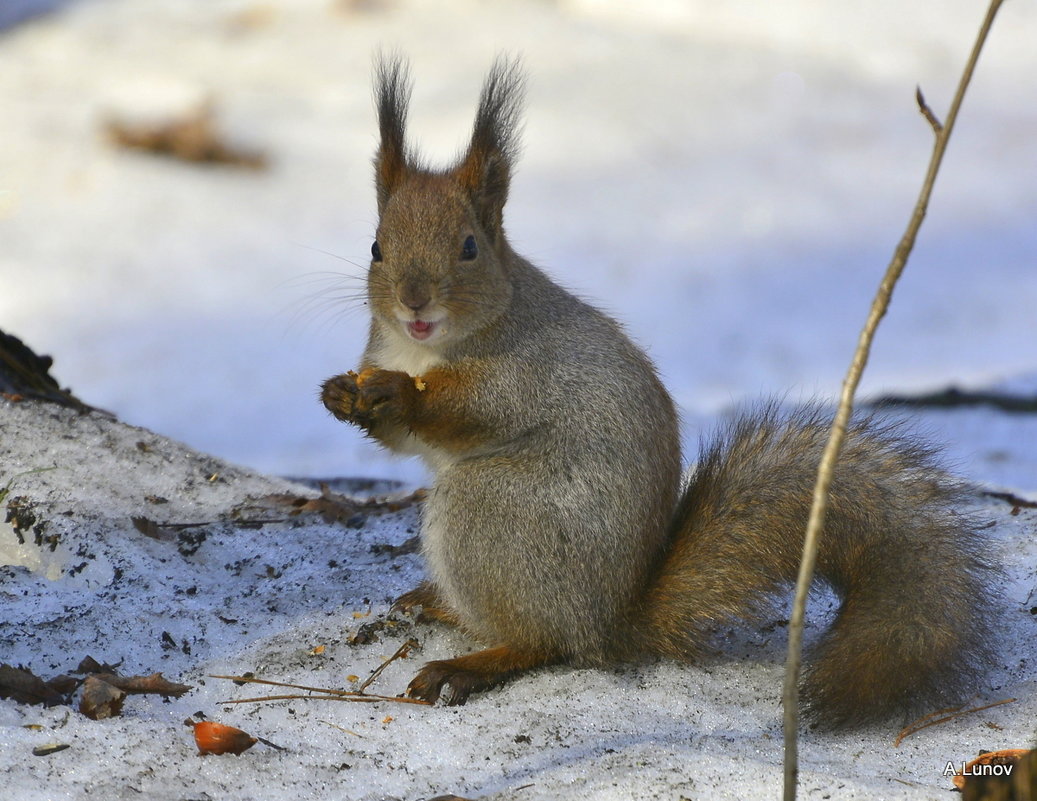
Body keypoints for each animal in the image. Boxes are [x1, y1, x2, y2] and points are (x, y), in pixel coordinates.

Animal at [319, 56, 999, 730]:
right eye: (376, 247)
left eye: (469, 247)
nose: (414, 301)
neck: (422, 350)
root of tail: (611, 622)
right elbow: (400, 439)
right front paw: (341, 396)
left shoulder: (523, 369)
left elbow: (475, 407)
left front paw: (403, 394)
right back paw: (433, 605)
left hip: (490, 515)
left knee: (542, 642)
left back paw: (466, 663)